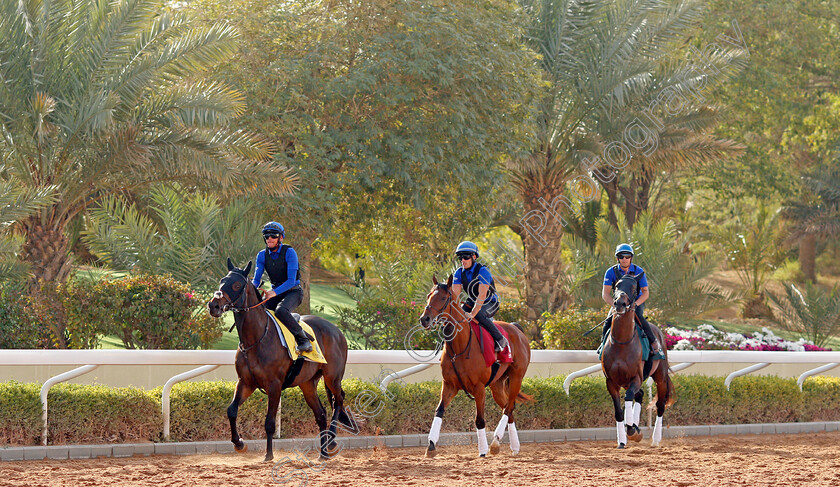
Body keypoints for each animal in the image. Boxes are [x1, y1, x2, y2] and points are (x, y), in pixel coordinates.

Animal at [212, 260, 356, 462]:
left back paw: (332, 441)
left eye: (236, 285)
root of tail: (337, 331)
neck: (256, 339)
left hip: (332, 377)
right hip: (307, 384)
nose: (213, 306)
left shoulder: (274, 385)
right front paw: (239, 443)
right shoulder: (246, 382)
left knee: (339, 401)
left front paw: (269, 454)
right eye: (221, 281)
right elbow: (231, 410)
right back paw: (323, 453)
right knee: (321, 414)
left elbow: (269, 422)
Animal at [420, 276, 532, 460]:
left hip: (517, 377)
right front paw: (430, 445)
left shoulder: (479, 388)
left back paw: (495, 443)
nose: (425, 319)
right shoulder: (449, 385)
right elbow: (439, 411)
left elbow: (479, 419)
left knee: (508, 408)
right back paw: (514, 447)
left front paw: (483, 450)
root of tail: (517, 328)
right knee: (509, 409)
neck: (459, 347)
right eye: (429, 295)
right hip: (497, 386)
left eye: (443, 298)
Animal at [604, 272, 676, 448]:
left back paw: (655, 439)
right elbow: (618, 411)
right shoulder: (611, 381)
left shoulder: (635, 377)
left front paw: (631, 430)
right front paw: (622, 440)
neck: (622, 342)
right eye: (617, 285)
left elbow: (628, 397)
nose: (620, 303)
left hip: (660, 376)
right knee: (640, 394)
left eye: (633, 288)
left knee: (660, 405)